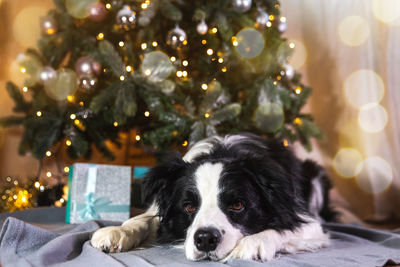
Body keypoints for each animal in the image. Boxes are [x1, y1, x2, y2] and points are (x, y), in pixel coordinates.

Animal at [90, 134, 334, 262]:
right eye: (189, 207)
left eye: (237, 204)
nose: (206, 239)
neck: (223, 153)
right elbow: (143, 219)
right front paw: (117, 232)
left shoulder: (309, 222)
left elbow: (284, 229)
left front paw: (252, 244)